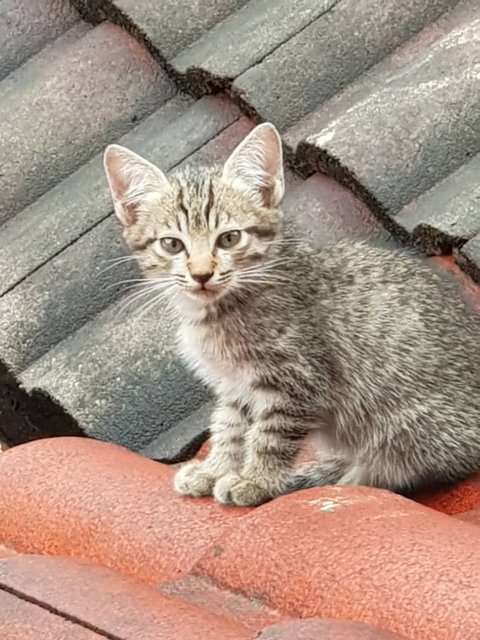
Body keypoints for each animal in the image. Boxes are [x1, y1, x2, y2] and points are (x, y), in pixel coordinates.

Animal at [103, 124, 480, 504]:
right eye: (172, 244)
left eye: (229, 239)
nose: (201, 274)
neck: (217, 312)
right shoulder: (234, 384)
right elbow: (229, 426)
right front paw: (215, 469)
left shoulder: (297, 378)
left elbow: (270, 435)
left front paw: (255, 480)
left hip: (410, 423)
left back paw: (352, 476)